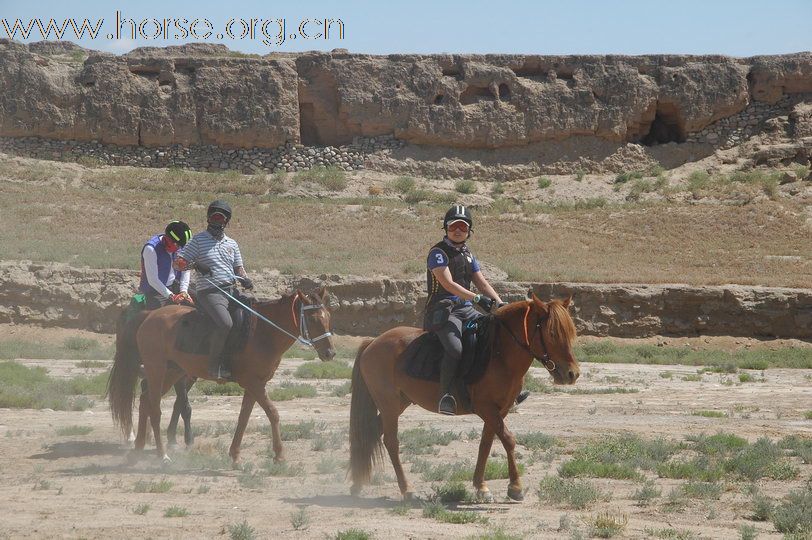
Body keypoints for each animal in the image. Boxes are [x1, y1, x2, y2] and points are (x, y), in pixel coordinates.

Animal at [108, 288, 336, 462]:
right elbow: (273, 413)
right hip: (157, 369)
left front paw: (235, 454)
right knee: (154, 408)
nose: (330, 353)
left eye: (328, 317)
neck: (261, 332)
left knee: (145, 401)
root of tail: (148, 316)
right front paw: (279, 455)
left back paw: (138, 450)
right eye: (313, 319)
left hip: (173, 372)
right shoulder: (253, 383)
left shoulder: (255, 384)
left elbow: (244, 417)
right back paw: (162, 454)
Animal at [348, 294, 576, 504]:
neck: (498, 353)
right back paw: (407, 489)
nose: (572, 374)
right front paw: (515, 487)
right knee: (391, 441)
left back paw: (357, 484)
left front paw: (481, 487)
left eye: (570, 333)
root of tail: (373, 342)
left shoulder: (499, 410)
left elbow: (486, 443)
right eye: (552, 333)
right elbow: (508, 440)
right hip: (389, 406)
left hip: (398, 404)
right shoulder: (486, 408)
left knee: (371, 432)